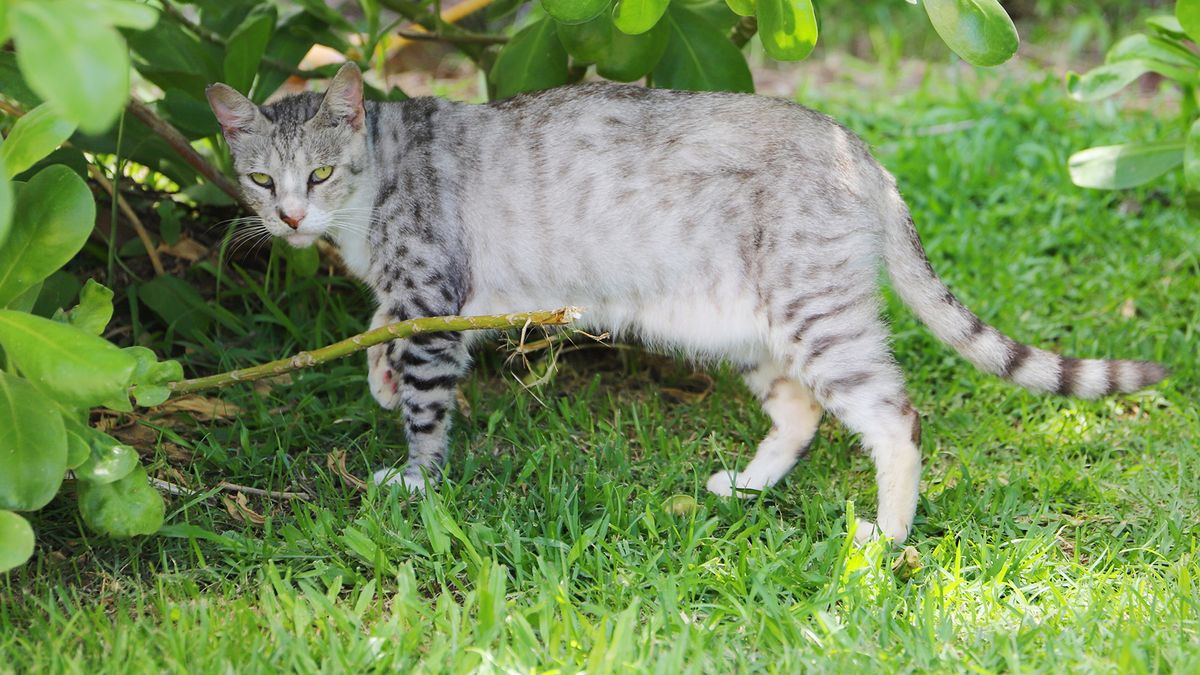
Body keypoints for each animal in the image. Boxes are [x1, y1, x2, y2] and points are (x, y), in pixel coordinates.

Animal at [206, 63, 1161, 542]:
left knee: (896, 417)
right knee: (801, 412)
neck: (372, 189)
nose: (289, 217)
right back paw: (744, 485)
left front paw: (413, 479)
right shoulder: (423, 297)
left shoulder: (435, 292)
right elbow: (379, 329)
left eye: (318, 174)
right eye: (260, 179)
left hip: (818, 317)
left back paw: (886, 536)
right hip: (751, 330)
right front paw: (375, 375)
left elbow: (427, 407)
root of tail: (856, 147)